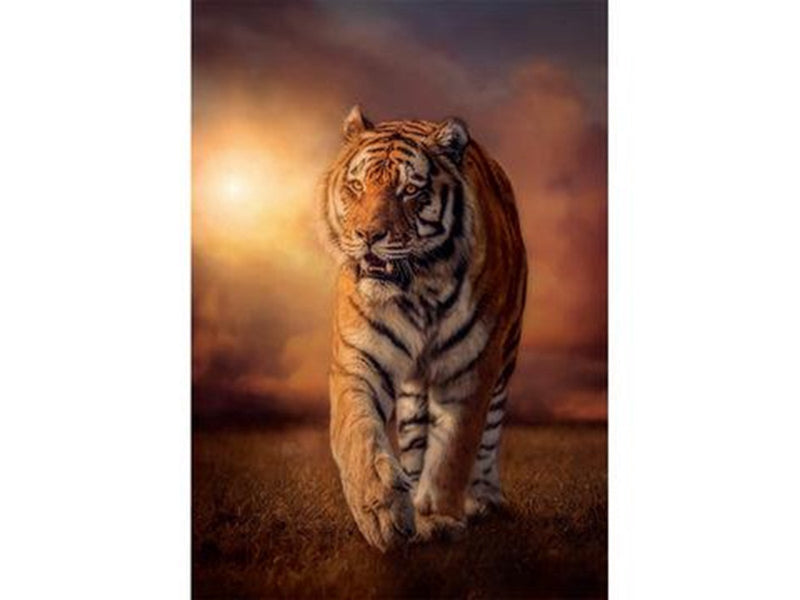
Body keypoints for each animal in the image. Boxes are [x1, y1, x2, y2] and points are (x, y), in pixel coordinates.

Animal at [320, 105, 528, 552]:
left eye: (410, 191)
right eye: (357, 186)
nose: (368, 236)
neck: (418, 290)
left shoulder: (472, 368)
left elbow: (454, 450)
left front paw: (438, 515)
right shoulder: (358, 357)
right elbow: (357, 430)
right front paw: (383, 511)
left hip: (506, 357)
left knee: (489, 434)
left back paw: (483, 498)